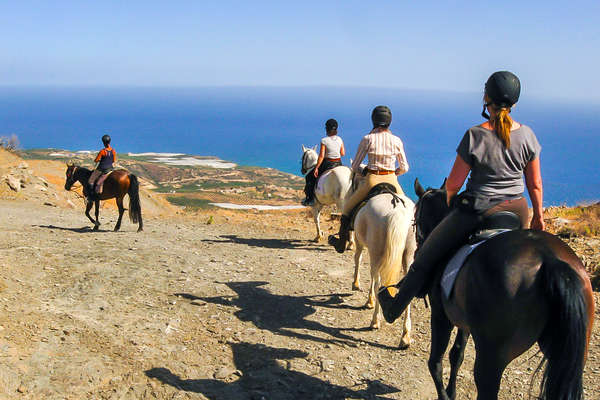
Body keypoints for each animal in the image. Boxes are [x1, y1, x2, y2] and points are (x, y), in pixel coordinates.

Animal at [352, 178, 418, 346]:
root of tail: (397, 210)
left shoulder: (360, 243)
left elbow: (358, 259)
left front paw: (359, 288)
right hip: (409, 254)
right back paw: (405, 336)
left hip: (376, 252)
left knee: (378, 282)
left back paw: (375, 321)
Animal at [410, 180, 592, 400]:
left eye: (415, 219)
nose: (418, 249)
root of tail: (550, 259)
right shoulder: (464, 320)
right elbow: (457, 354)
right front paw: (451, 391)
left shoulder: (441, 314)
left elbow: (435, 362)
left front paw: (446, 395)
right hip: (567, 355)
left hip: (491, 357)